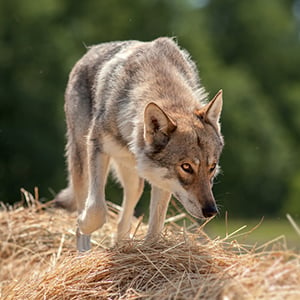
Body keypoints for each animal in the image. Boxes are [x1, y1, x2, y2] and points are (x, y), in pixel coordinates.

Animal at [55, 37, 223, 251]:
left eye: (212, 167)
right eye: (186, 167)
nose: (211, 211)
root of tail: (89, 52)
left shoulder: (162, 181)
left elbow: (155, 229)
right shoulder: (97, 147)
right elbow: (96, 210)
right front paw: (82, 223)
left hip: (135, 181)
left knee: (122, 221)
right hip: (82, 160)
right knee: (86, 204)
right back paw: (83, 251)